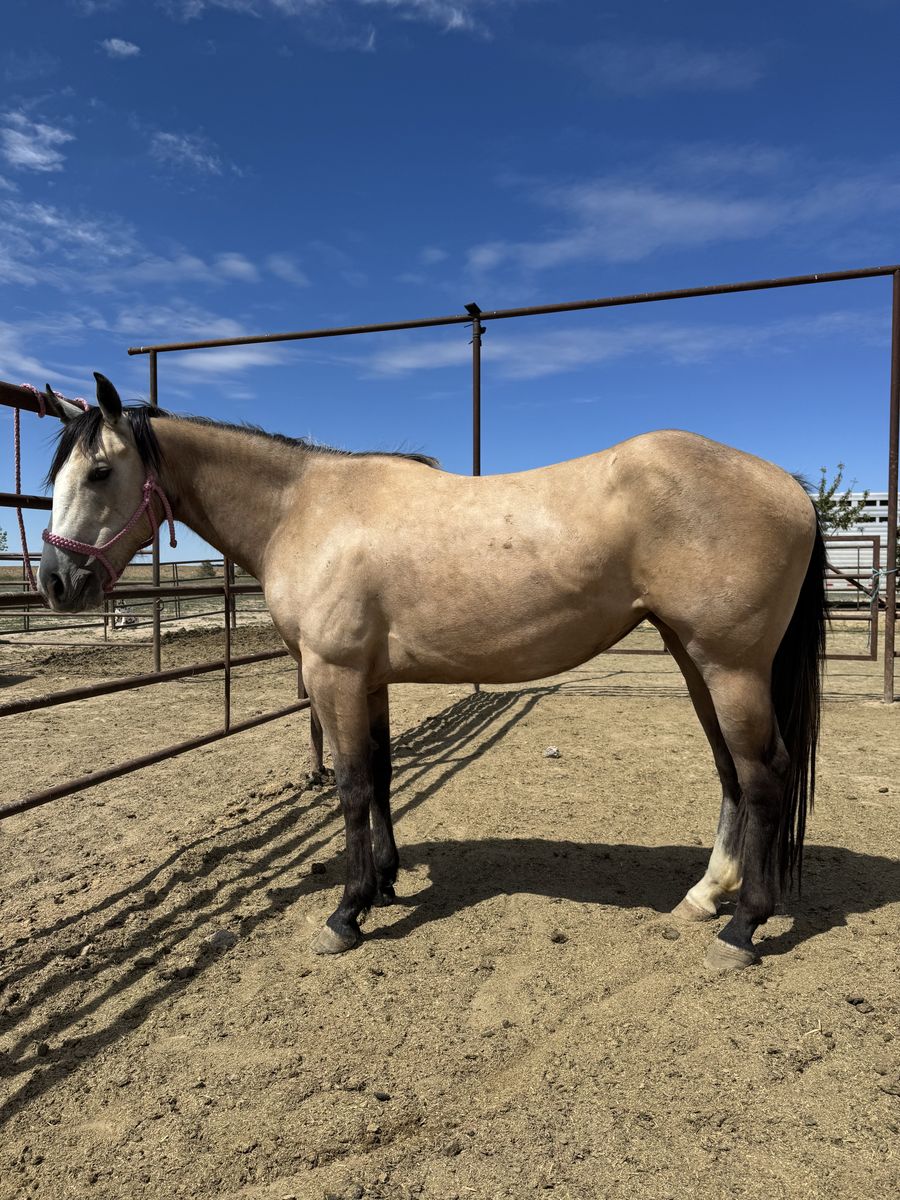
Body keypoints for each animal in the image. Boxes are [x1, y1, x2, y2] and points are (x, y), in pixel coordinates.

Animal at [38, 373, 826, 971]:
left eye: (100, 471)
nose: (54, 581)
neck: (304, 509)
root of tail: (788, 486)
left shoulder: (334, 674)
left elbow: (353, 786)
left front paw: (347, 912)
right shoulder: (369, 679)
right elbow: (383, 774)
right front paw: (385, 881)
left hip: (729, 667)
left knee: (764, 777)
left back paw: (744, 927)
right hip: (697, 661)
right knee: (731, 773)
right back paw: (706, 896)